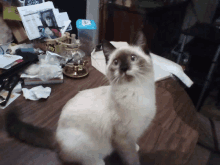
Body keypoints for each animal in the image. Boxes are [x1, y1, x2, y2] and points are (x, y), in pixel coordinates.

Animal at [5, 31, 156, 165]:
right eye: (116, 62)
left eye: (133, 58)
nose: (124, 68)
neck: (136, 90)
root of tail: (57, 136)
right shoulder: (123, 138)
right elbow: (131, 158)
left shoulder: (133, 133)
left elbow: (133, 147)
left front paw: (136, 147)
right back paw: (97, 162)